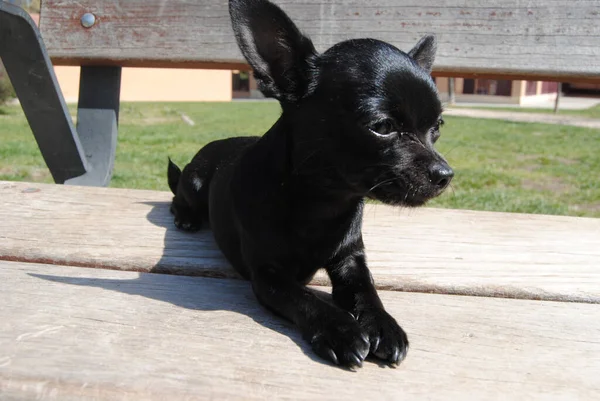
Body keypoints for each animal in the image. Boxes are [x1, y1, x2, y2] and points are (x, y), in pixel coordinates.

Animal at [166, 0, 452, 368]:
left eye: (437, 128)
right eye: (382, 126)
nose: (445, 174)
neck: (322, 203)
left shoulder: (351, 259)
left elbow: (367, 290)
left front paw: (384, 324)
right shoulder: (269, 277)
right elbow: (304, 298)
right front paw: (341, 330)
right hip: (195, 181)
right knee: (177, 195)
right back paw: (186, 218)